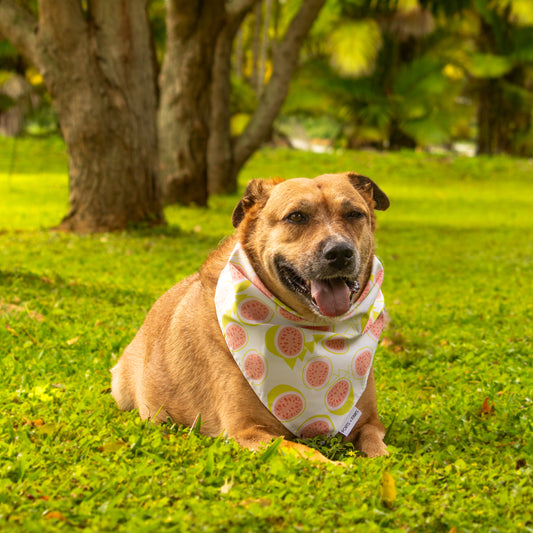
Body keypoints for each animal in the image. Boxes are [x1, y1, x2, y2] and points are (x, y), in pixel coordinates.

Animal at [110, 171, 388, 462]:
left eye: (354, 214)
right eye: (296, 216)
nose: (340, 252)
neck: (316, 331)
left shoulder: (370, 422)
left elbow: (378, 447)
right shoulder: (246, 431)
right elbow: (305, 451)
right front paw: (337, 466)